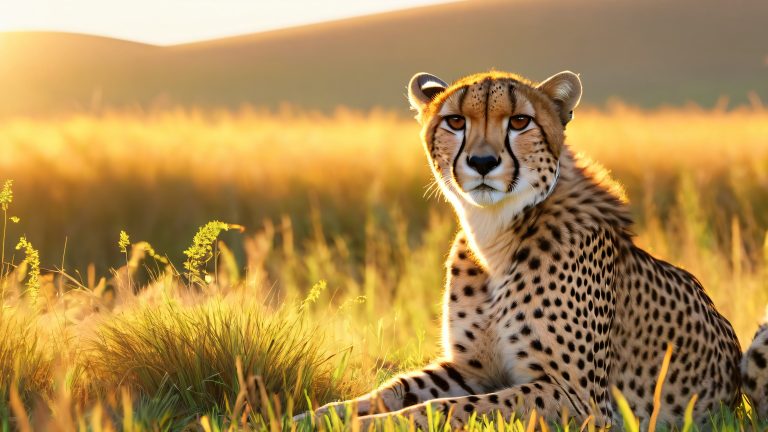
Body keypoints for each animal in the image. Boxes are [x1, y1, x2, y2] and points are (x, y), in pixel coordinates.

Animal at [294, 69, 767, 429]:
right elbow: (396, 389)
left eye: (520, 121)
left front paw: (370, 424)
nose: (483, 162)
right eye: (455, 121)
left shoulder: (579, 399)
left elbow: (448, 409)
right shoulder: (471, 368)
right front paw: (321, 414)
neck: (495, 235)